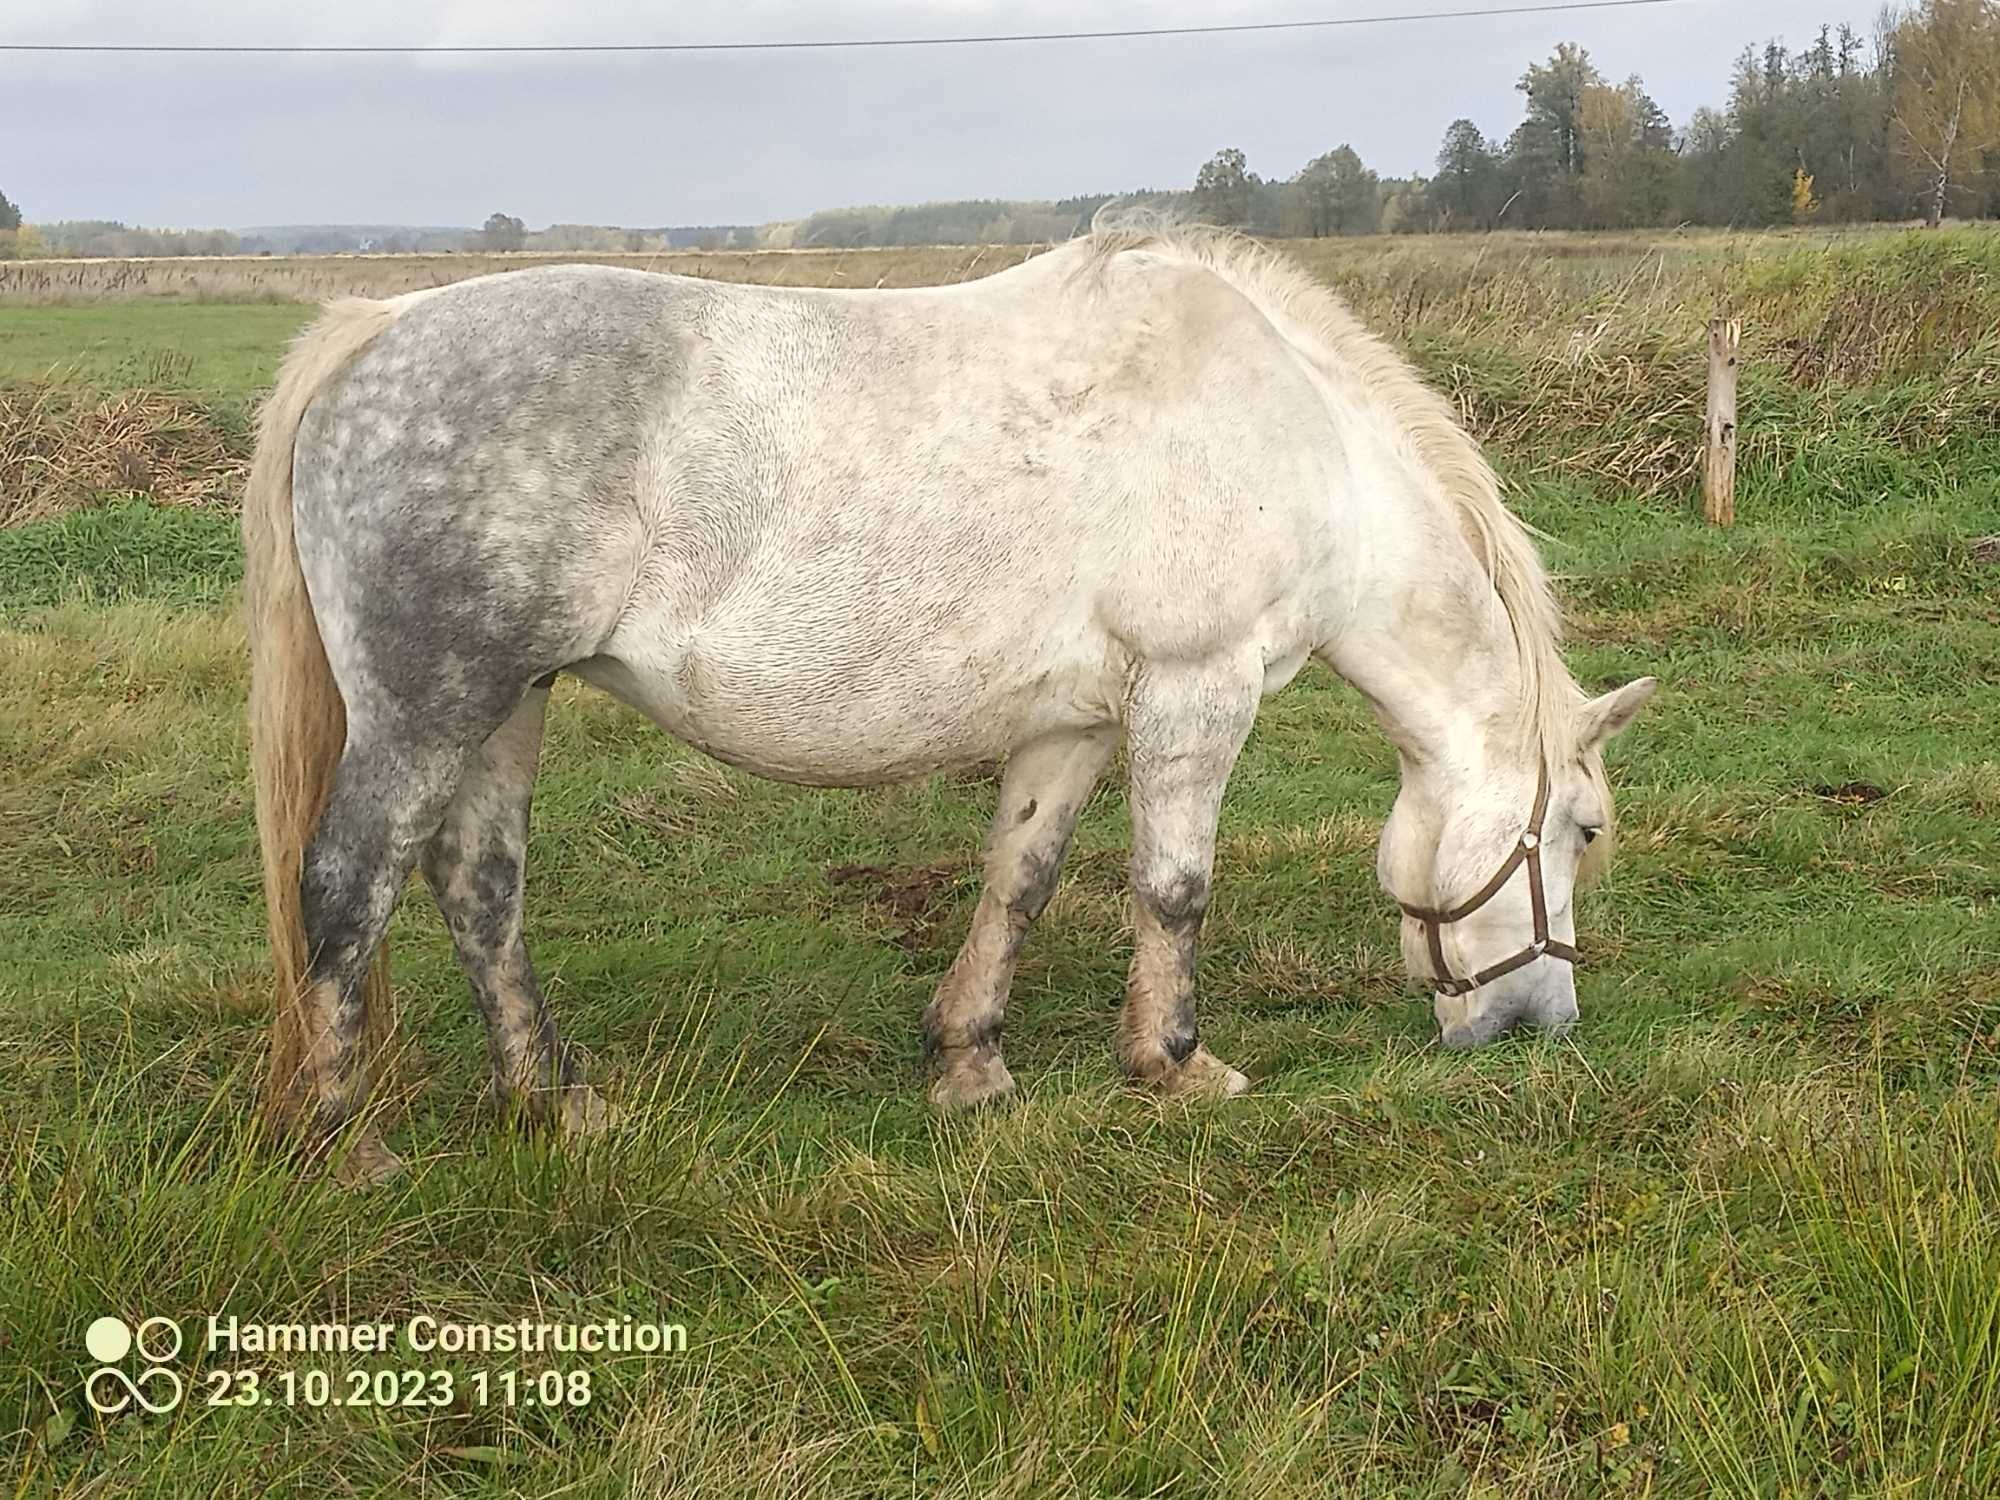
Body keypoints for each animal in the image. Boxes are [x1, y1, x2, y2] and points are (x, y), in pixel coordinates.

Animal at [246, 223, 1656, 1184]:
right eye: (1581, 829)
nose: (1536, 1029)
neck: (1299, 440)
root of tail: (374, 327)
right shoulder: (1195, 694)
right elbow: (1172, 889)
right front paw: (1176, 1066)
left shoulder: (1074, 724)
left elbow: (1017, 881)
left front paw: (969, 1065)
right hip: (430, 710)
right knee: (348, 889)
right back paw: (347, 1147)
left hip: (506, 705)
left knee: (478, 889)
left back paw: (554, 1099)